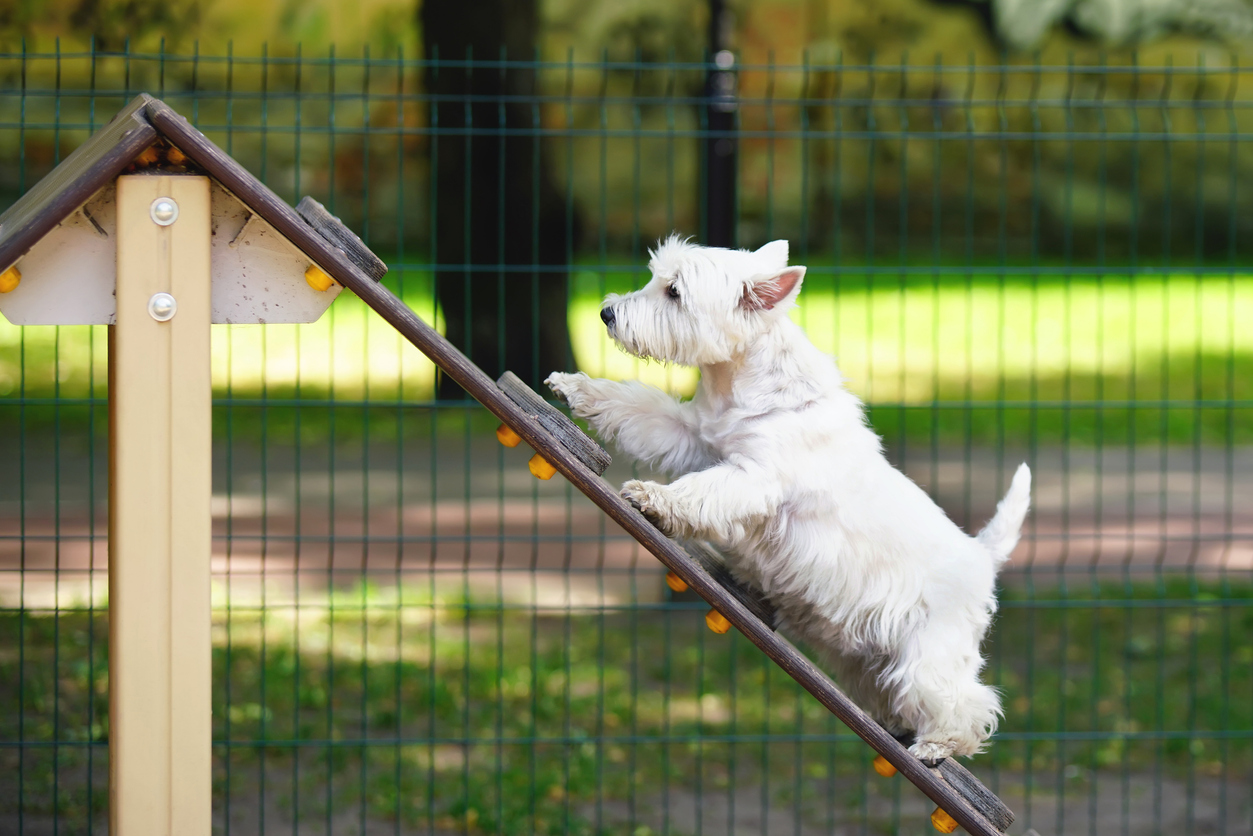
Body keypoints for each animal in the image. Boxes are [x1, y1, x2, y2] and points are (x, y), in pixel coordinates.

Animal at [546, 235, 1027, 757]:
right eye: (657, 279)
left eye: (674, 291)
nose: (606, 313)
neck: (741, 384)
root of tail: (982, 555)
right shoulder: (691, 435)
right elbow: (637, 406)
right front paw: (575, 387)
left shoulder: (754, 477)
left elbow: (701, 490)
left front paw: (654, 498)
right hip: (866, 658)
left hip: (930, 652)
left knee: (967, 702)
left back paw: (937, 746)